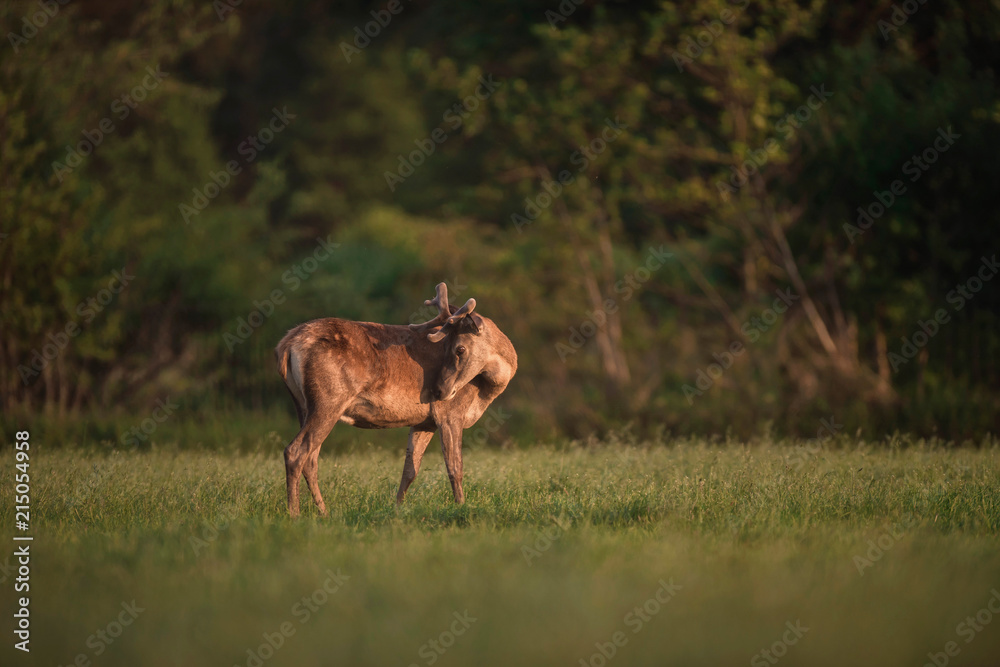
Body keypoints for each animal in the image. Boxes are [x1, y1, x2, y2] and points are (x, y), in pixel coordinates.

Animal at [274, 283, 517, 517]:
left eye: (459, 348)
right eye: (452, 347)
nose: (438, 391)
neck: (486, 391)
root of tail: (285, 345)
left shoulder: (424, 421)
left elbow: (410, 470)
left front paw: (397, 509)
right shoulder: (450, 413)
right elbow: (455, 467)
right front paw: (461, 506)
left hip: (302, 404)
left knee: (311, 458)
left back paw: (324, 512)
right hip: (329, 398)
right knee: (296, 451)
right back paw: (294, 514)